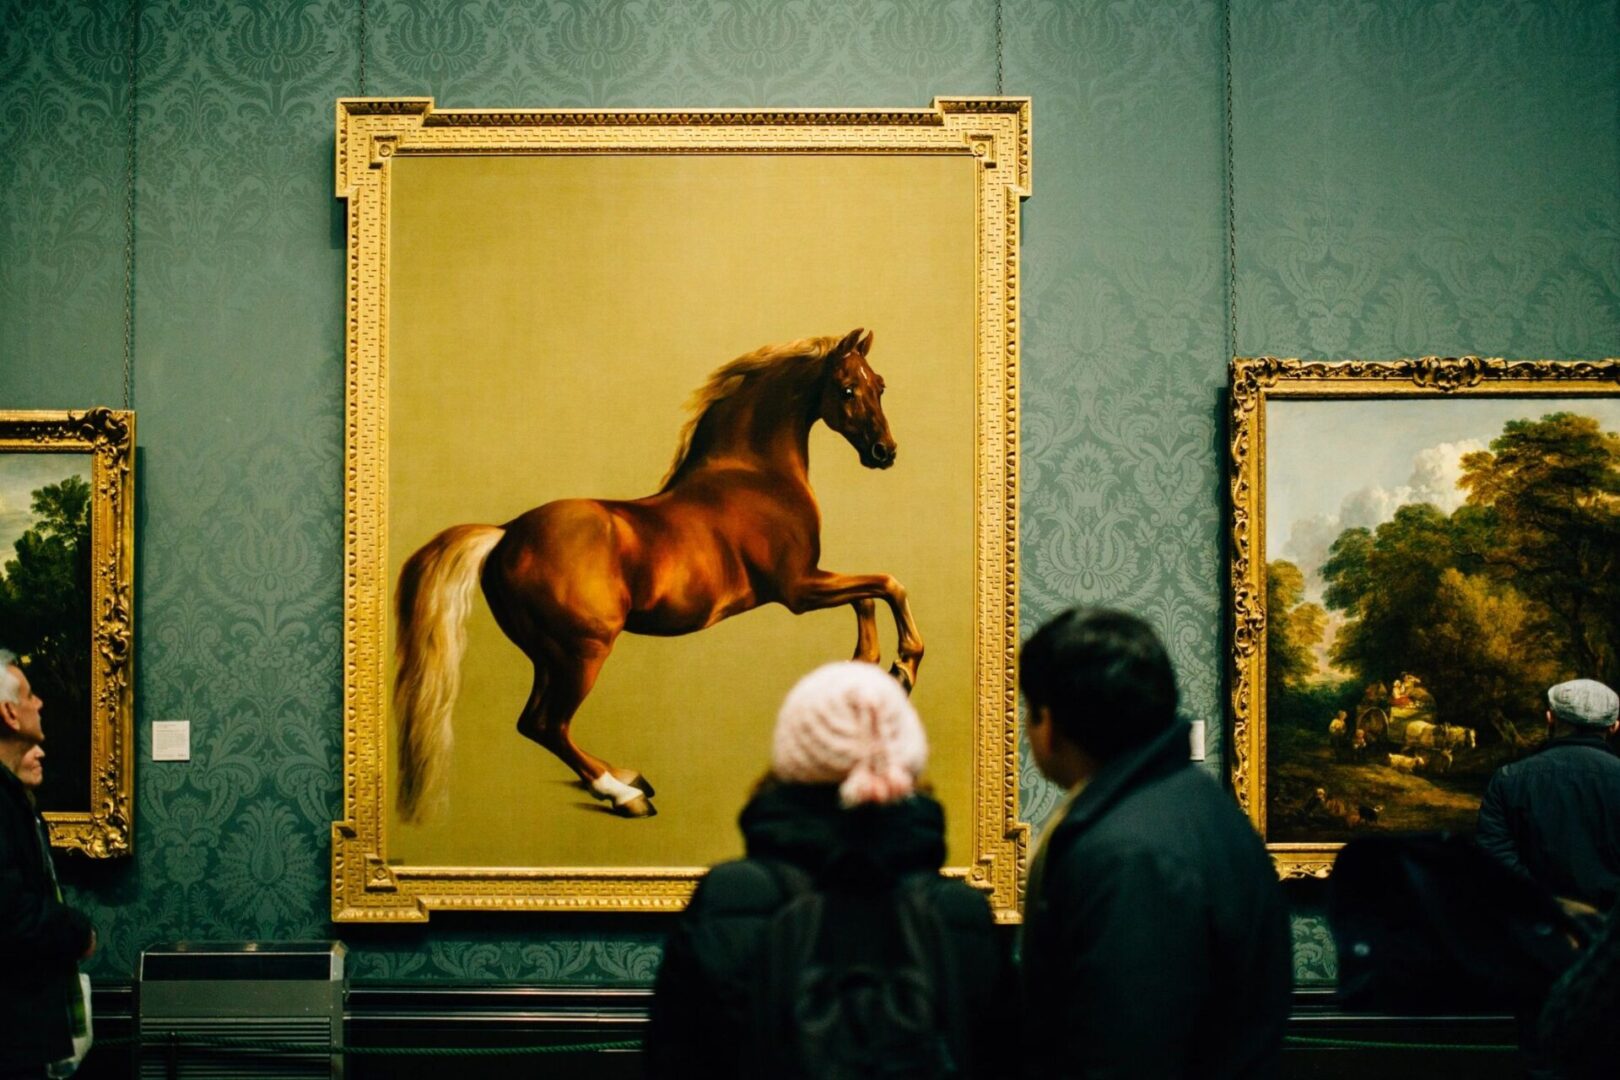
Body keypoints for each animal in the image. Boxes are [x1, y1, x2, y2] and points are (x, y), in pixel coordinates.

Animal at [393, 330, 926, 819]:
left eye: (879, 384)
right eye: (846, 389)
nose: (885, 452)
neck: (755, 476)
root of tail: (505, 534)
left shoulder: (811, 581)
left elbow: (868, 596)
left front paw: (867, 670)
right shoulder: (798, 587)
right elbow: (887, 584)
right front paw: (902, 667)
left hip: (547, 655)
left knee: (536, 724)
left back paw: (626, 777)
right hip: (582, 652)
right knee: (546, 724)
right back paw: (623, 794)